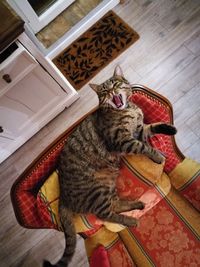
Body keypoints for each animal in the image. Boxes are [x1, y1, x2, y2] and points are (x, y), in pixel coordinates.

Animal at [43, 66, 177, 266]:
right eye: (104, 91)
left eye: (115, 85)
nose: (112, 92)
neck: (127, 109)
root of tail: (63, 197)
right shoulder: (122, 140)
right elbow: (144, 147)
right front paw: (158, 156)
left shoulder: (139, 131)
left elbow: (153, 126)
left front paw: (169, 129)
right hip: (98, 193)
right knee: (107, 215)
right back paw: (131, 221)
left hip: (107, 187)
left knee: (116, 205)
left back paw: (136, 204)